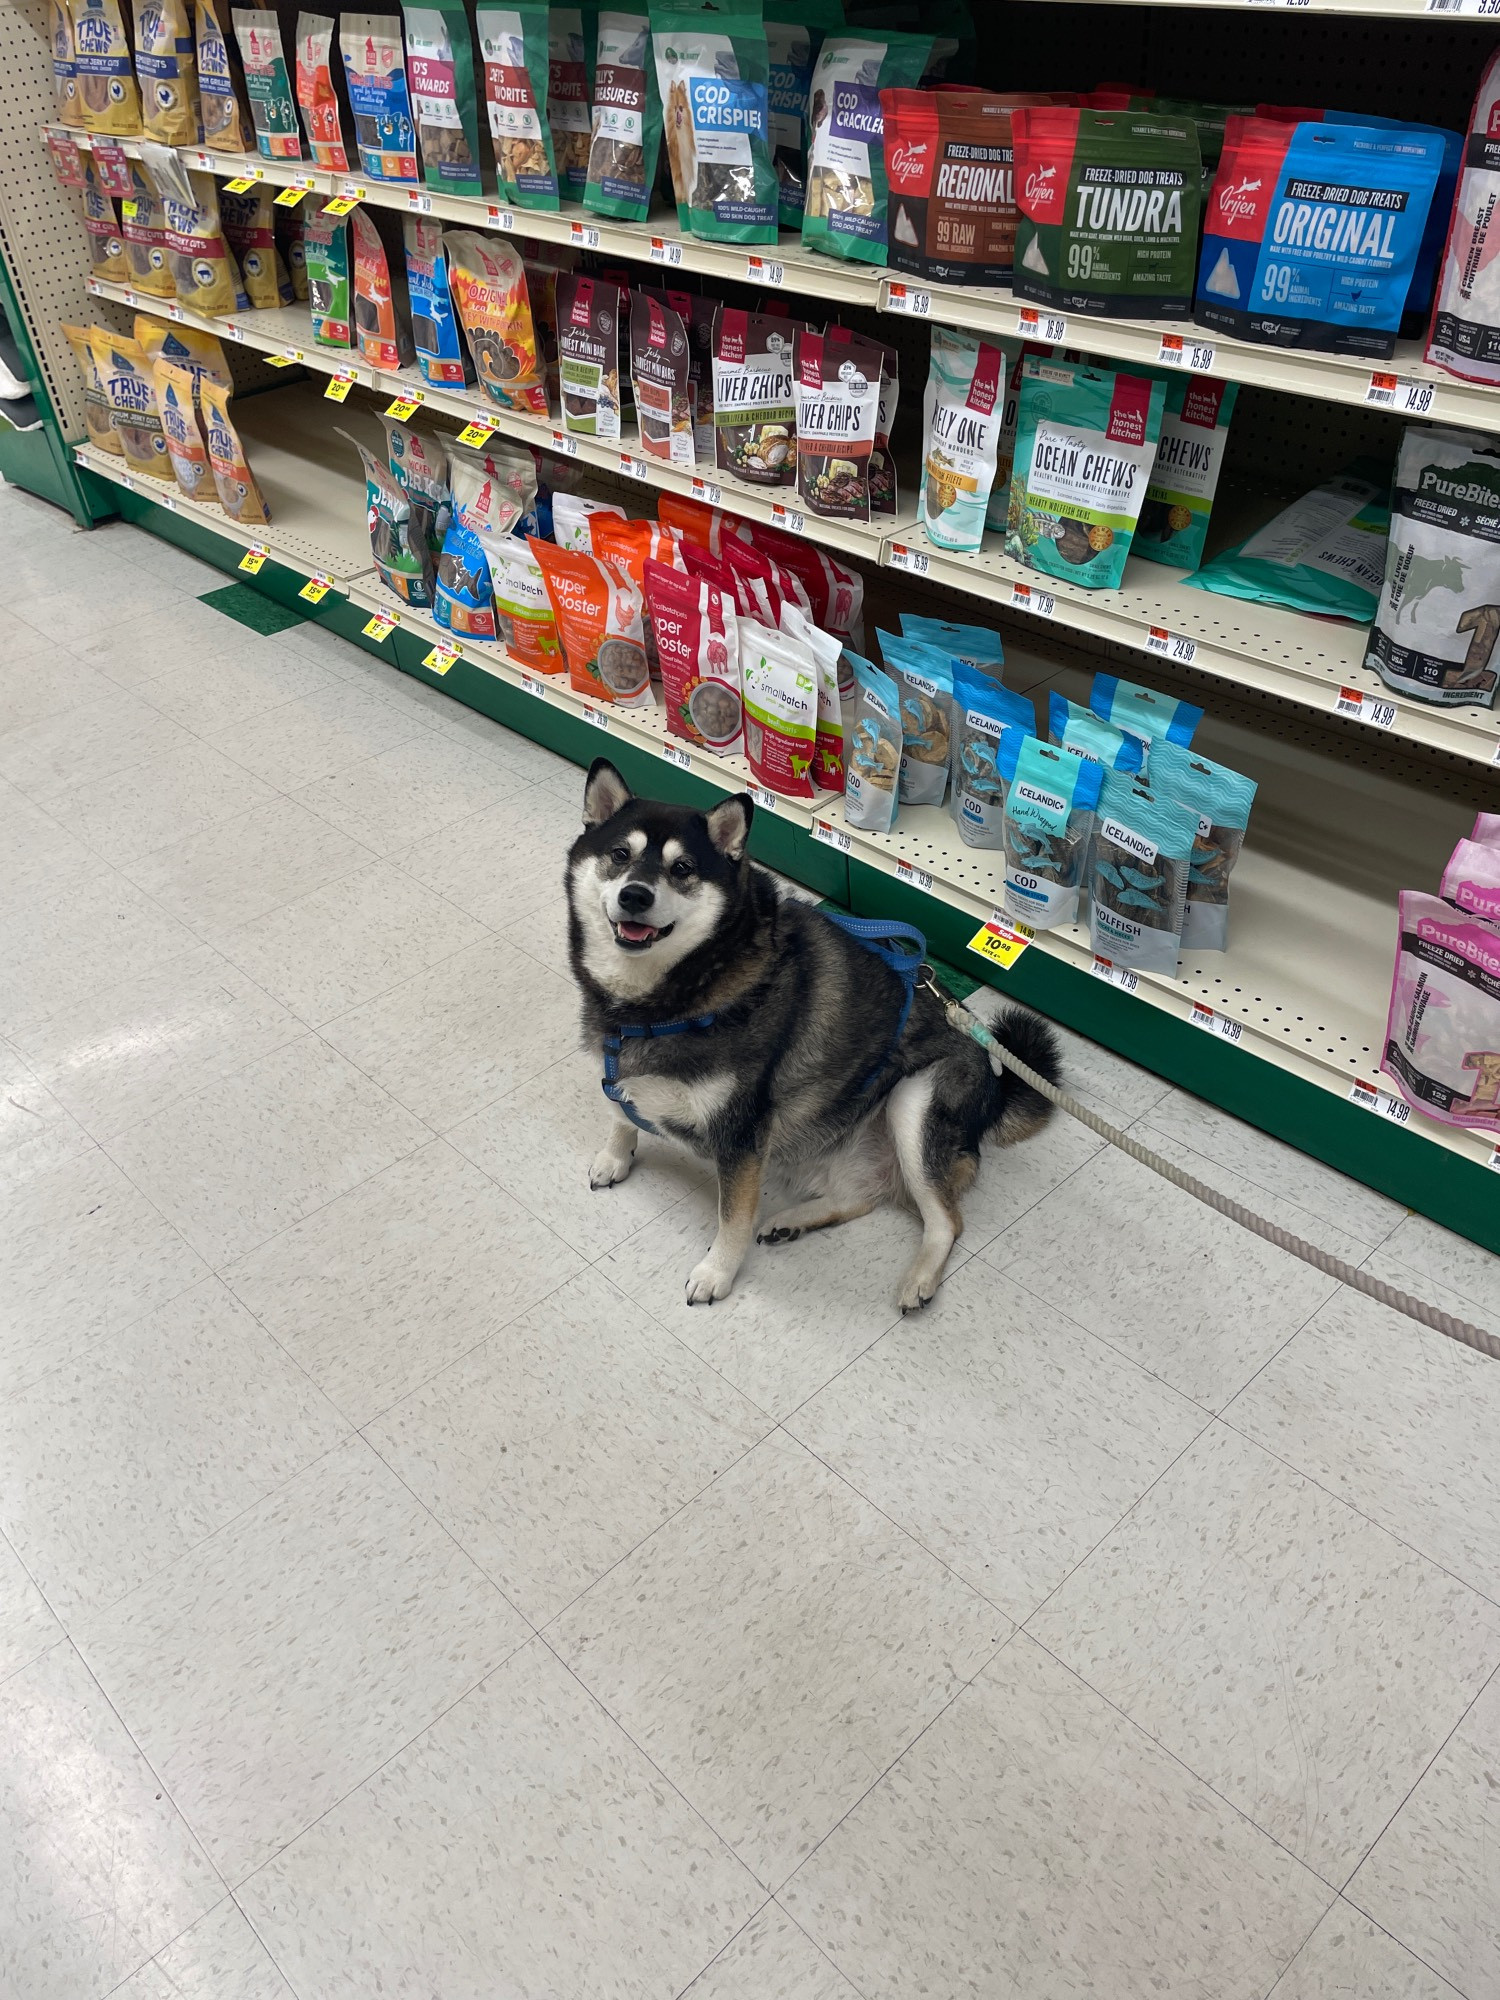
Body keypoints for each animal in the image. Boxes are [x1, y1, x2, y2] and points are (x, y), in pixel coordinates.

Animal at [568, 760, 1064, 1312]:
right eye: (620, 855)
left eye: (683, 869)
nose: (635, 895)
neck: (670, 996)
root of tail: (996, 1082)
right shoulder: (615, 1061)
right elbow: (619, 1113)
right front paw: (615, 1157)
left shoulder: (742, 1136)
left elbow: (732, 1217)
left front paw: (716, 1272)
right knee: (862, 1196)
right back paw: (793, 1221)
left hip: (914, 1099)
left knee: (947, 1221)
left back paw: (918, 1278)